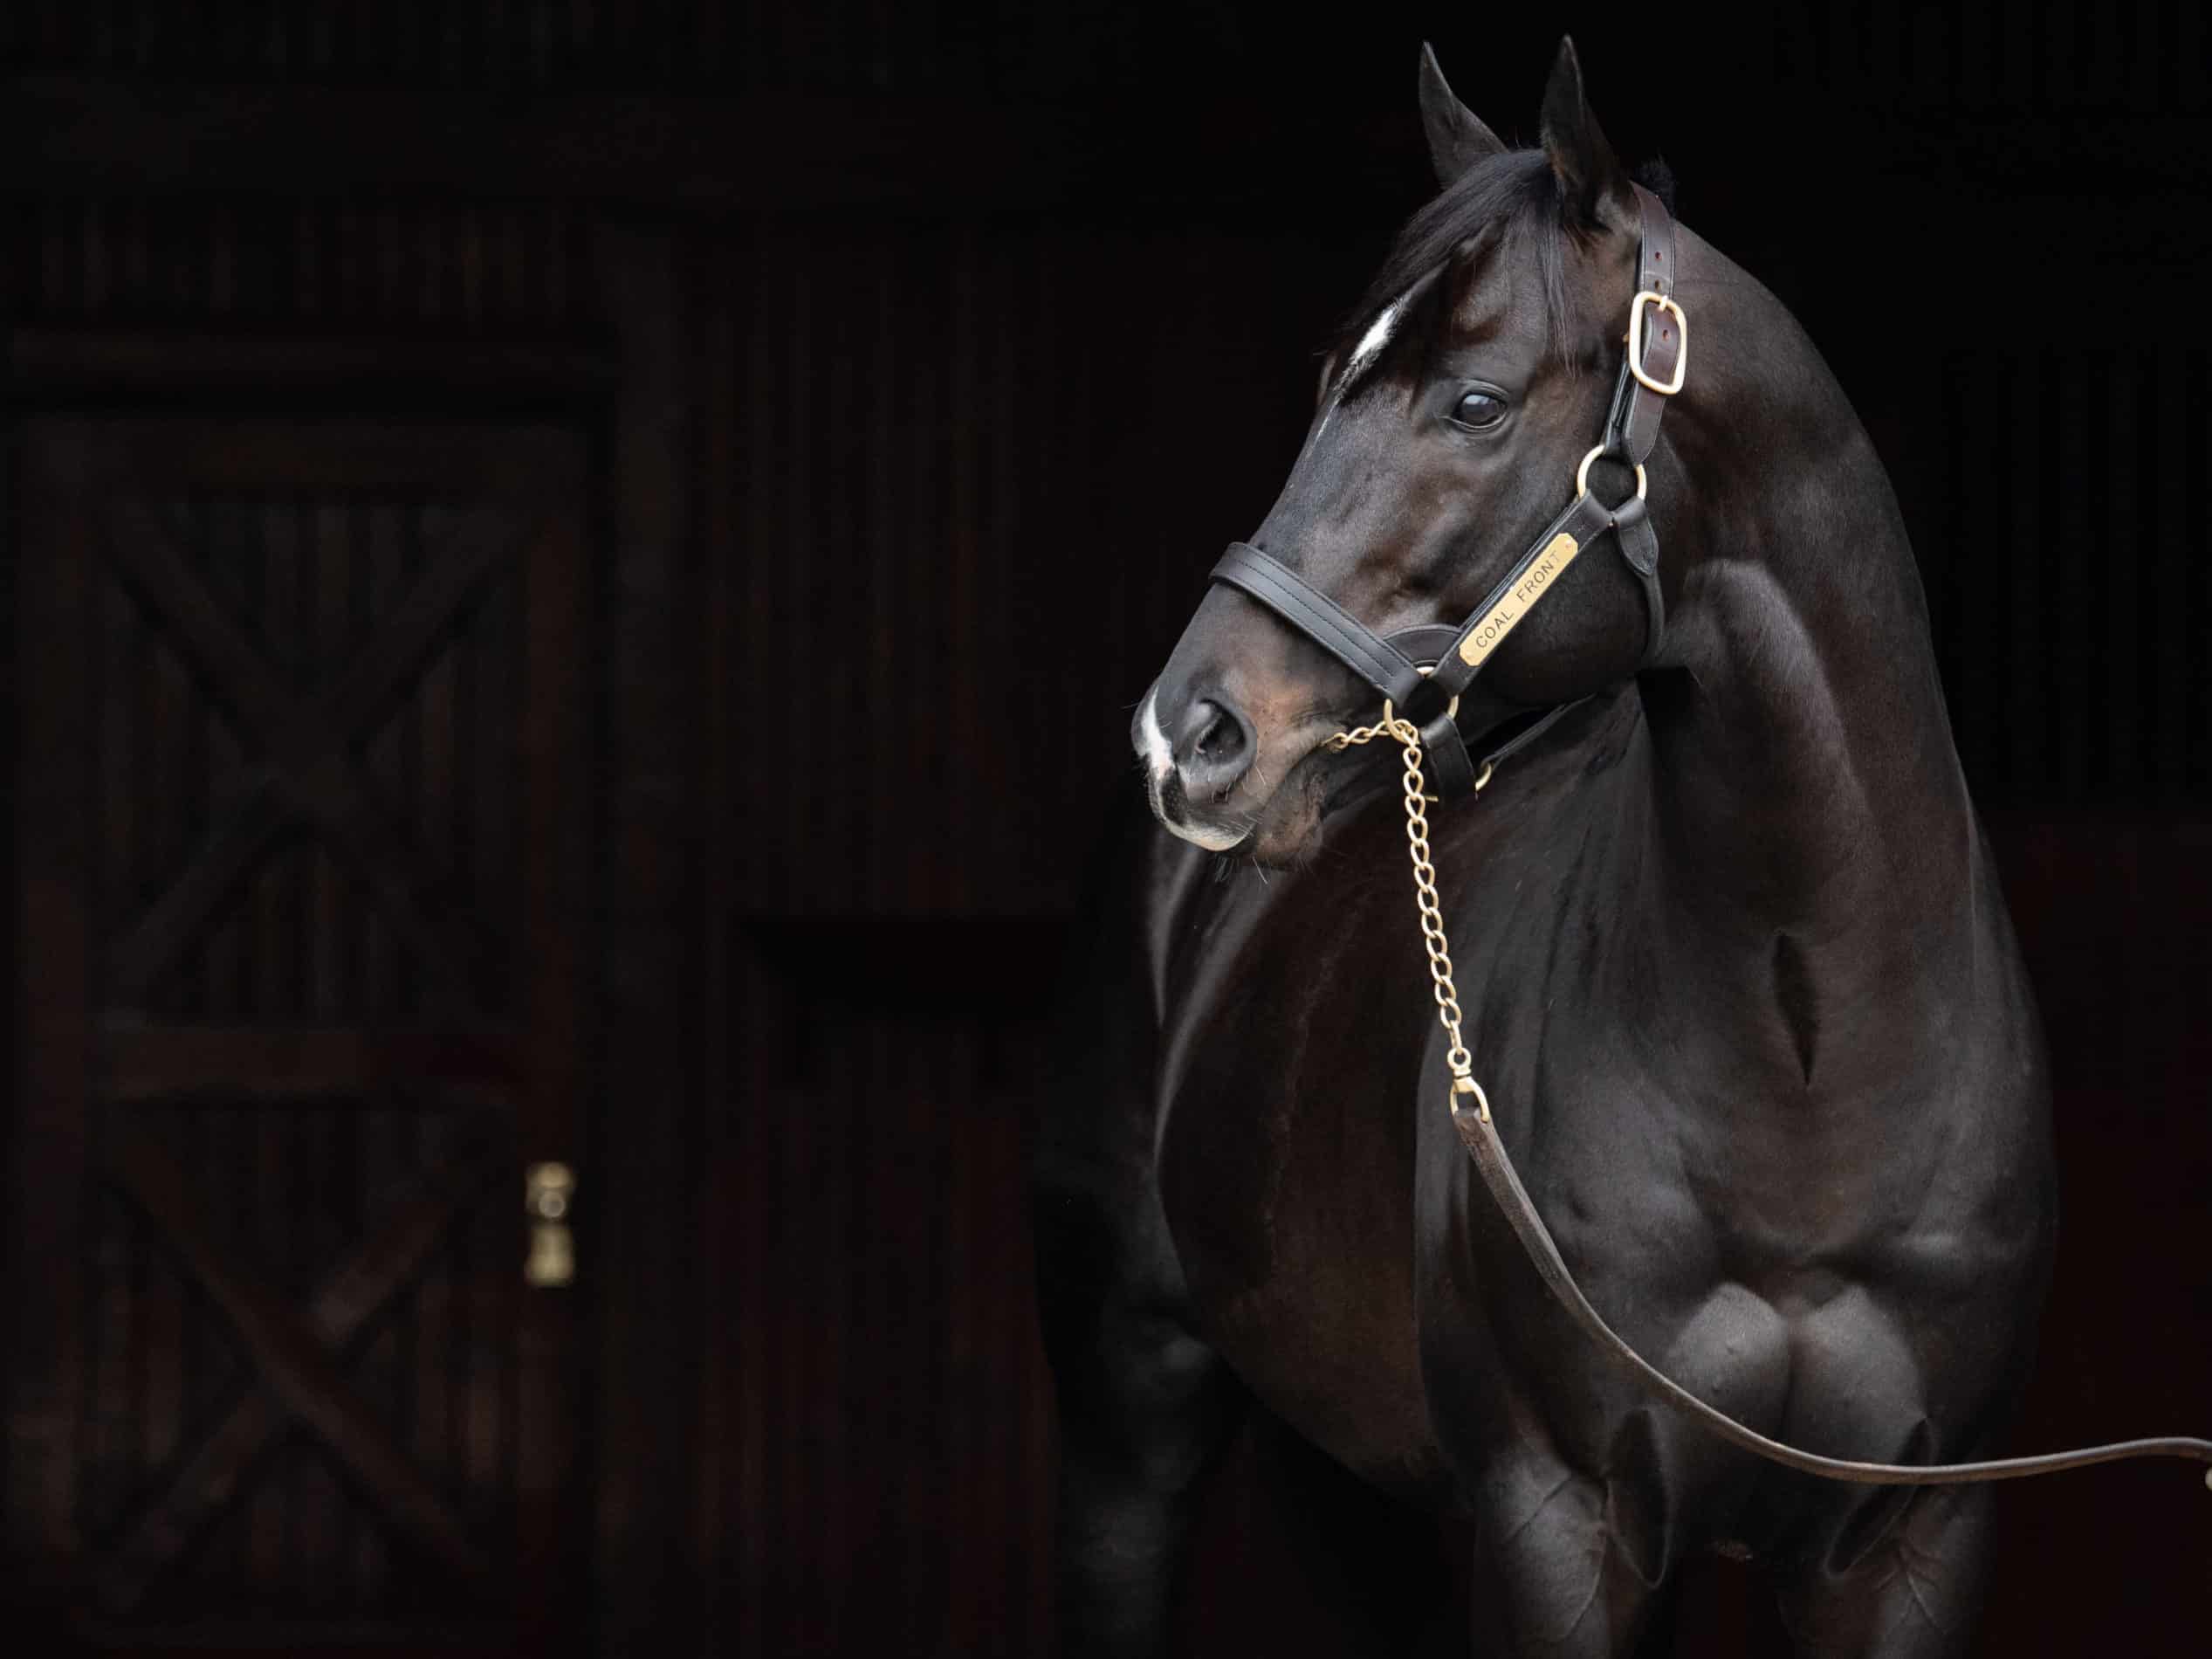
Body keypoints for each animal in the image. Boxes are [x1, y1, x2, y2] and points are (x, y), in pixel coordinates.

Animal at [1032, 38, 2208, 1658]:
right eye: (1331, 380)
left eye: (1471, 402)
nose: (1189, 734)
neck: (1805, 1064)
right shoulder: (1560, 1521)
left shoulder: (1909, 1542)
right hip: (1128, 1408)